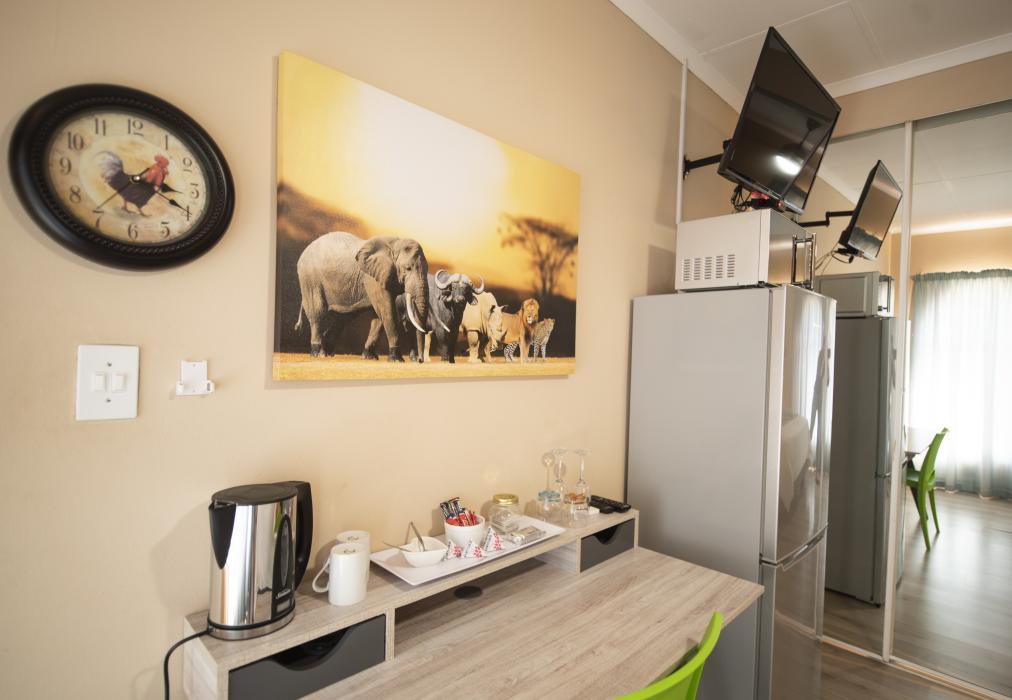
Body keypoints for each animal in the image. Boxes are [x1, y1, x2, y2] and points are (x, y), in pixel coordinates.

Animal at [294, 232, 430, 361]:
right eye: (408, 268)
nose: (420, 361)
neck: (395, 243)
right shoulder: (372, 277)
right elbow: (387, 310)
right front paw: (396, 359)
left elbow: (379, 316)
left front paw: (369, 357)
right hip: (310, 278)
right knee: (318, 313)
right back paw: (316, 353)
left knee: (344, 317)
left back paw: (325, 353)